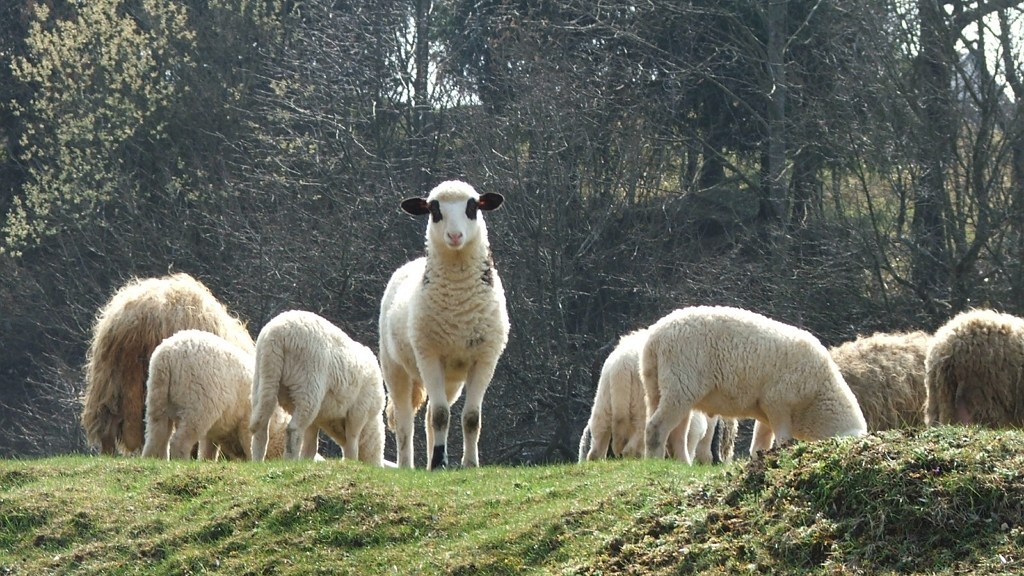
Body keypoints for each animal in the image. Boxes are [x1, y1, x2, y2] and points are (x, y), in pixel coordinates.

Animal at [141, 329, 289, 460]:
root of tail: (167, 356)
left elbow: (209, 447)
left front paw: (207, 460)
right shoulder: (248, 414)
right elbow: (248, 439)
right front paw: (253, 459)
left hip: (158, 392)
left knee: (157, 430)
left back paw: (153, 458)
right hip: (199, 395)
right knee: (182, 437)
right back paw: (181, 459)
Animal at [249, 310, 385, 465]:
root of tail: (277, 334)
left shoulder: (317, 419)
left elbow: (311, 444)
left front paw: (306, 460)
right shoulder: (359, 412)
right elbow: (352, 442)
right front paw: (351, 461)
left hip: (264, 375)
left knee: (261, 423)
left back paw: (257, 461)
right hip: (308, 384)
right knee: (294, 429)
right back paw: (289, 461)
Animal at [379, 180, 510, 469]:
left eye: (473, 207)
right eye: (434, 210)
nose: (454, 236)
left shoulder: (485, 359)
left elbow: (470, 417)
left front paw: (469, 463)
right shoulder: (429, 355)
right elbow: (441, 415)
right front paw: (440, 461)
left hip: (451, 379)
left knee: (429, 416)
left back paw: (432, 463)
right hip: (394, 367)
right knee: (405, 420)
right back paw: (408, 465)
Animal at [641, 306, 867, 463]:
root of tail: (655, 338)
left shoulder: (766, 409)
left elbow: (760, 442)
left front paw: (759, 459)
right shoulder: (778, 402)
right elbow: (783, 438)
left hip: (658, 385)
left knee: (676, 432)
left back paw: (682, 463)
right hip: (682, 380)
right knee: (657, 427)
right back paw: (655, 461)